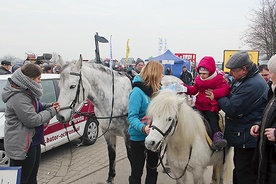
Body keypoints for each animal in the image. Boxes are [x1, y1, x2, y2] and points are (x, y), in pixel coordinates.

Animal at [56, 55, 184, 183]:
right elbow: (111, 155)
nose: (60, 116)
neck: (113, 98)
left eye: (72, 86)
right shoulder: (108, 133)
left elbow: (132, 158)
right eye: (59, 86)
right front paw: (110, 177)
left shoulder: (128, 135)